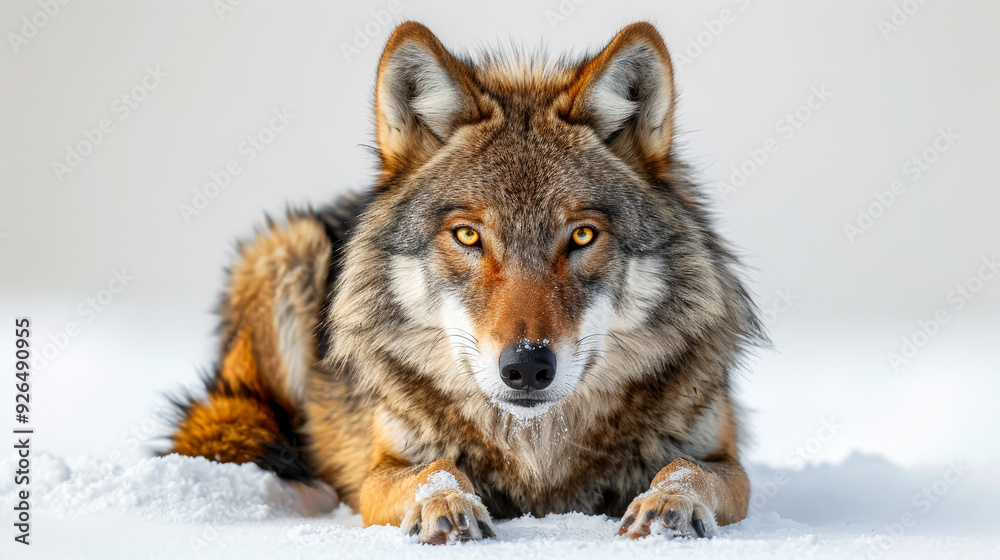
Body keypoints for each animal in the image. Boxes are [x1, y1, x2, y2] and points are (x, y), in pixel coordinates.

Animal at [169, 20, 765, 544]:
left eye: (582, 235)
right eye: (468, 235)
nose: (528, 365)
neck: (537, 452)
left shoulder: (724, 459)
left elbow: (686, 469)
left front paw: (668, 505)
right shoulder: (383, 470)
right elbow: (436, 470)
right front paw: (446, 506)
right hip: (289, 249)